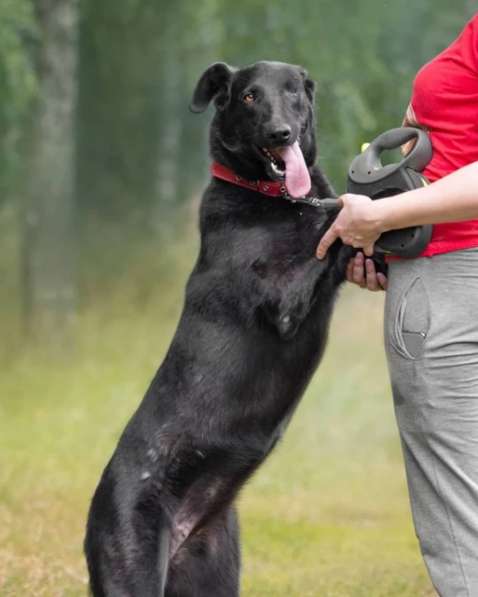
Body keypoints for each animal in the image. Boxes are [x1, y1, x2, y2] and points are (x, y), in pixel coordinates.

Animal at [86, 61, 352, 596]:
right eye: (249, 97)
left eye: (294, 92)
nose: (281, 133)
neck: (275, 198)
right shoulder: (285, 301)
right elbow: (332, 221)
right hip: (132, 569)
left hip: (215, 572)